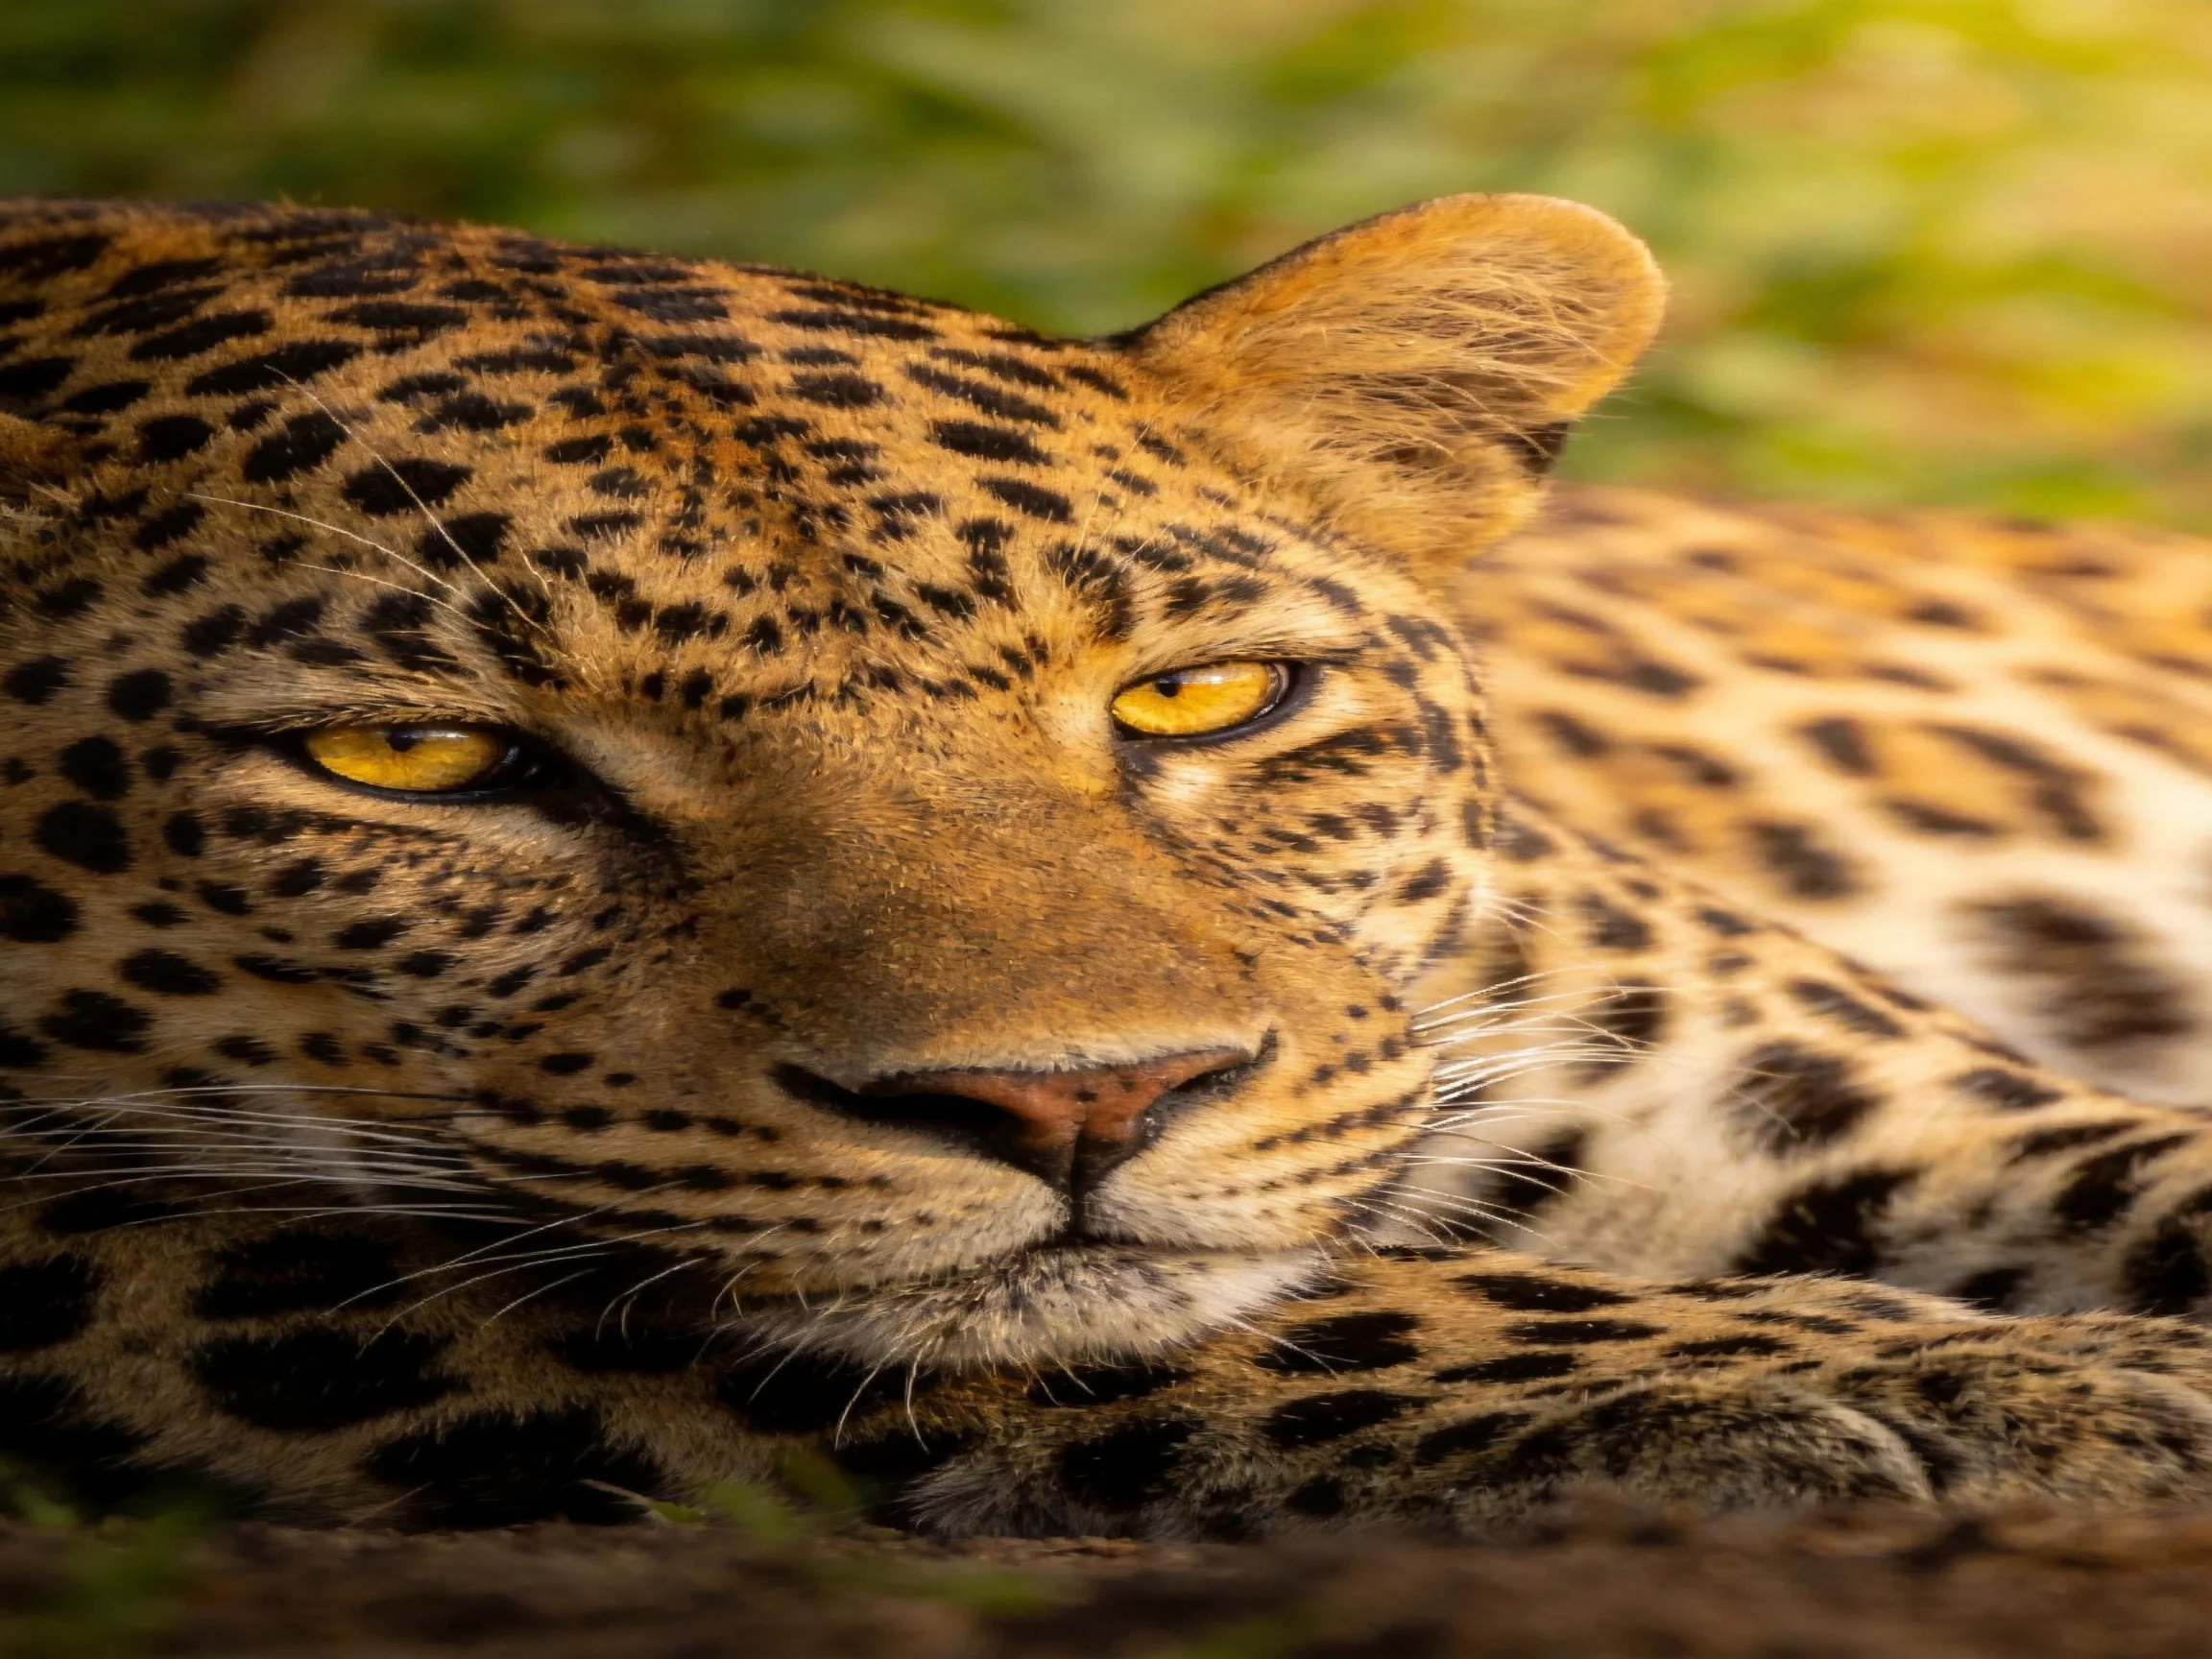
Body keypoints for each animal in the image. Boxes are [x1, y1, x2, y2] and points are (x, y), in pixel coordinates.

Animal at [11, 192, 2212, 1538]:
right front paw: (2011, 1390)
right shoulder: (99, 1233)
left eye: (1204, 697)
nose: (1086, 1103)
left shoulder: (1817, 1099)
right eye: (417, 757)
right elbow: (1278, 1313)